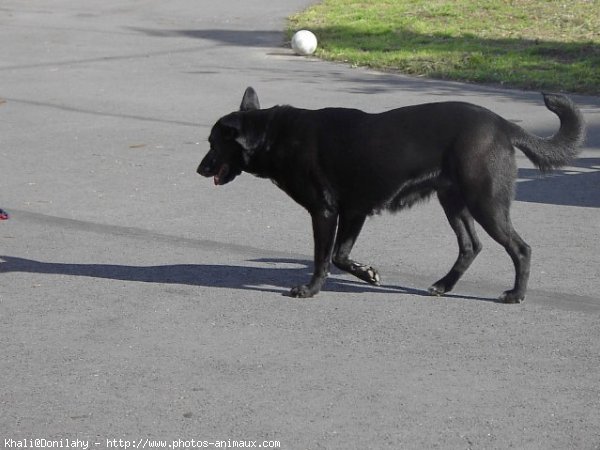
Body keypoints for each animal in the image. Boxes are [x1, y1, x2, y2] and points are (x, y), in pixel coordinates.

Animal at [199, 87, 584, 302]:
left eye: (213, 143)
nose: (200, 169)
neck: (273, 135)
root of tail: (503, 124)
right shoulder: (353, 212)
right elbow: (341, 256)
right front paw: (367, 273)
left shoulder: (325, 212)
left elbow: (323, 258)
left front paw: (309, 291)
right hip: (453, 201)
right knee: (470, 246)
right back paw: (443, 285)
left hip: (485, 202)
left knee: (521, 248)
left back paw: (515, 295)